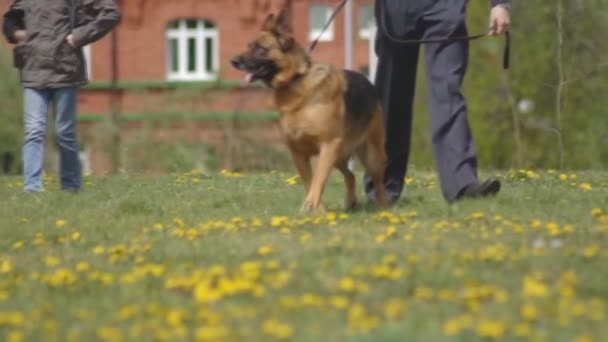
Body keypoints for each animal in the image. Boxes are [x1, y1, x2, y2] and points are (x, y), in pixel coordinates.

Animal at [230, 8, 388, 211]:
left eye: (260, 48)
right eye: (249, 45)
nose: (233, 61)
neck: (295, 80)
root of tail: (368, 81)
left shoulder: (328, 146)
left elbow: (318, 179)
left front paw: (311, 206)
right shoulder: (298, 153)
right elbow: (309, 181)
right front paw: (318, 210)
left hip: (370, 155)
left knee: (377, 180)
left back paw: (383, 206)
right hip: (339, 156)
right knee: (350, 175)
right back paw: (350, 203)